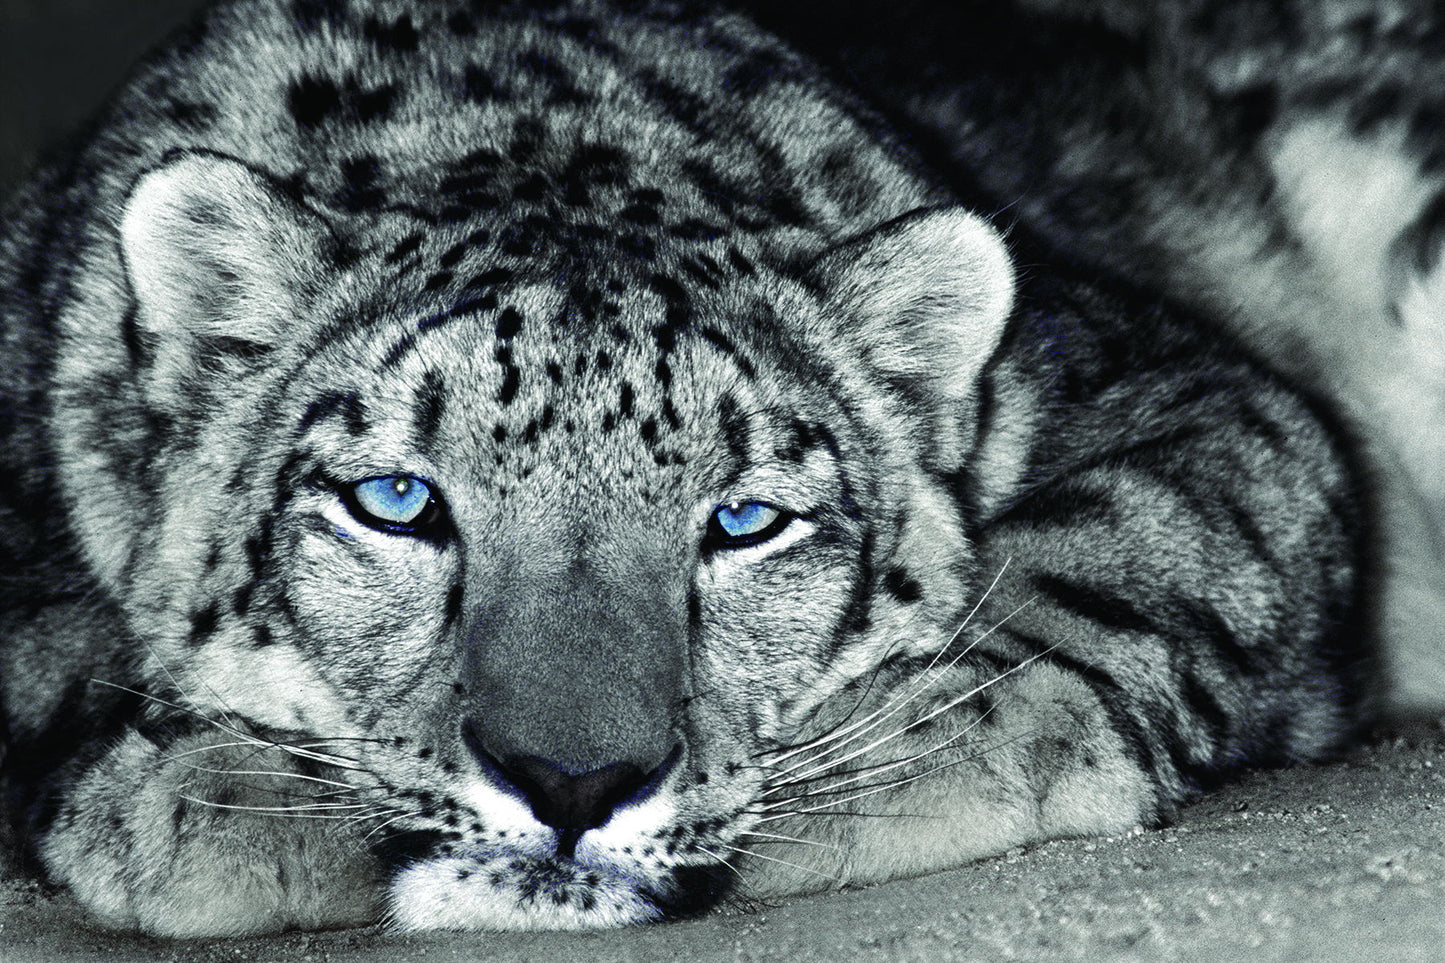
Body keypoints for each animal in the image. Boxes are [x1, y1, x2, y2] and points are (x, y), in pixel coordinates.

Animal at [2, 0, 1421, 936]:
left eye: (744, 520)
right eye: (395, 500)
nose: (574, 782)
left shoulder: (1180, 385)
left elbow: (1129, 544)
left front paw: (926, 743)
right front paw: (202, 785)